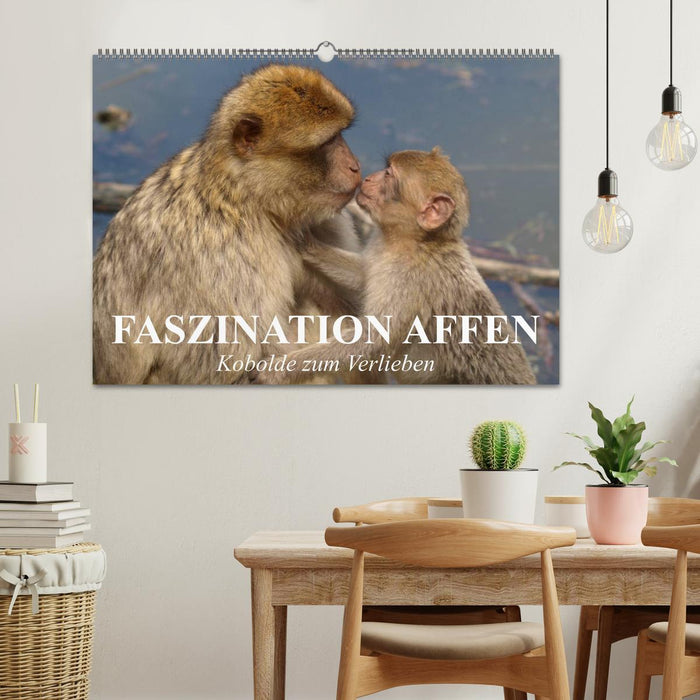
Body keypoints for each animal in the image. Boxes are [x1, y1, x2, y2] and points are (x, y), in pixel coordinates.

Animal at [93, 64, 363, 384]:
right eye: (328, 142)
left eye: (341, 135)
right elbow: (226, 366)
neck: (246, 198)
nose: (355, 166)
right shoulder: (226, 257)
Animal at [255, 148, 537, 385]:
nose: (367, 177)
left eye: (389, 174)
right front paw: (306, 242)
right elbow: (363, 275)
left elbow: (371, 340)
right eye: (386, 168)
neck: (413, 242)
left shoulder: (409, 280)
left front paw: (280, 370)